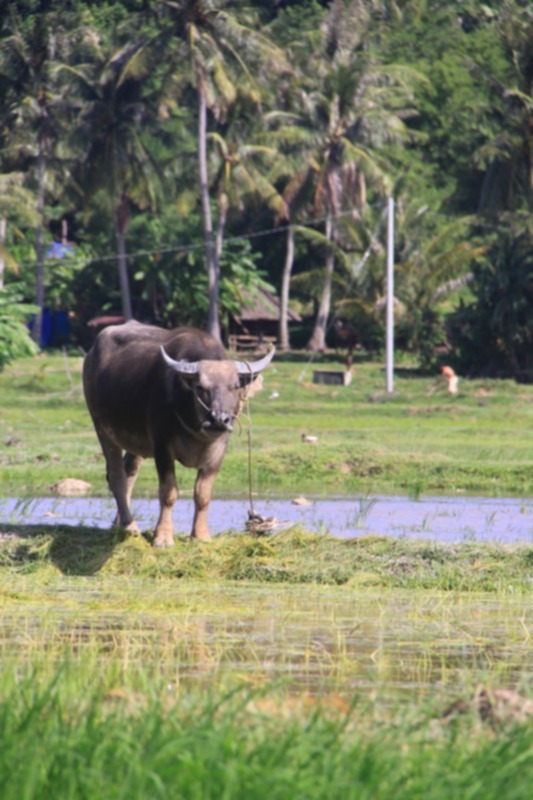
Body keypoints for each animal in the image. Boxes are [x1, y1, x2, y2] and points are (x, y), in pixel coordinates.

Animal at [84, 322, 274, 548]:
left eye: (235, 387)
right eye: (201, 387)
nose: (219, 419)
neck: (197, 432)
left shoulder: (218, 453)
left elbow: (203, 494)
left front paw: (201, 535)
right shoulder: (163, 449)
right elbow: (168, 493)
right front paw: (163, 537)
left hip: (134, 442)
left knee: (130, 473)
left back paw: (119, 523)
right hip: (101, 426)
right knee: (117, 477)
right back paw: (130, 526)